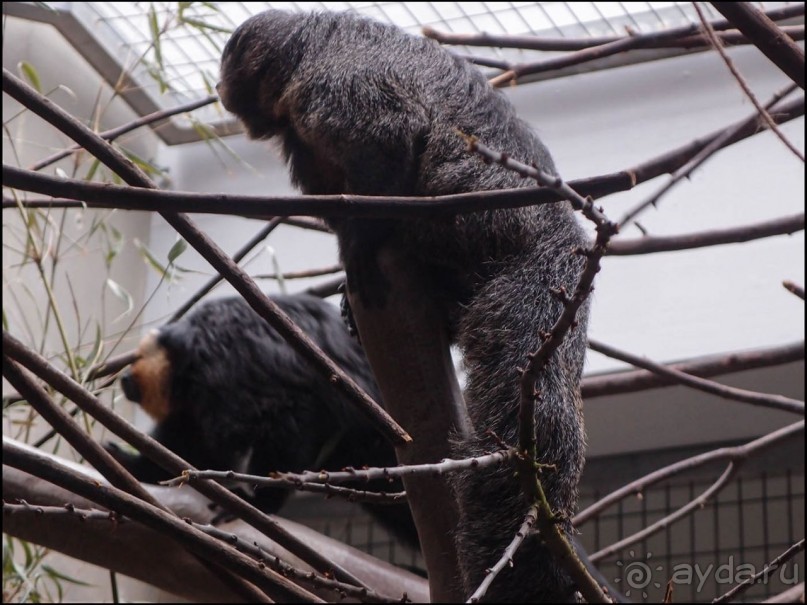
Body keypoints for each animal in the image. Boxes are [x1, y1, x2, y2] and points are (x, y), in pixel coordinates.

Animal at [105, 292, 416, 548]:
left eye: (138, 359)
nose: (125, 378)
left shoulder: (230, 365)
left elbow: (285, 418)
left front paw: (259, 502)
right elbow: (188, 446)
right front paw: (133, 464)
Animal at [218, 8, 592, 600]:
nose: (218, 87)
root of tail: (558, 237)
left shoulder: (334, 79)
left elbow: (389, 137)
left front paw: (363, 242)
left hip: (481, 222)